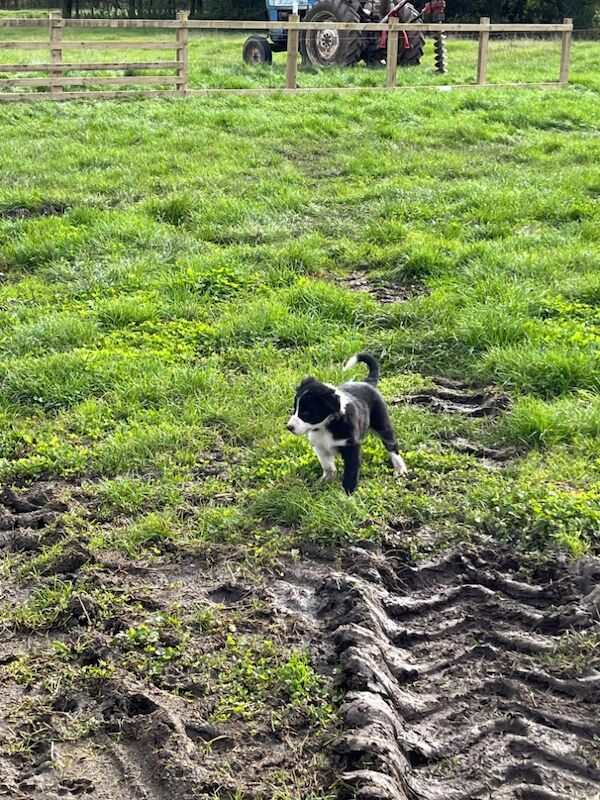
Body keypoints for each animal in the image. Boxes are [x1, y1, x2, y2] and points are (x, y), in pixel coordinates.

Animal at [286, 352, 408, 494]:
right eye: (295, 408)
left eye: (306, 413)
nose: (289, 427)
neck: (326, 426)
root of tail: (367, 383)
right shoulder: (320, 446)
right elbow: (328, 466)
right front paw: (324, 481)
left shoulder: (351, 447)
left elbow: (351, 473)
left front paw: (348, 493)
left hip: (381, 423)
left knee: (391, 445)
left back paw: (400, 468)